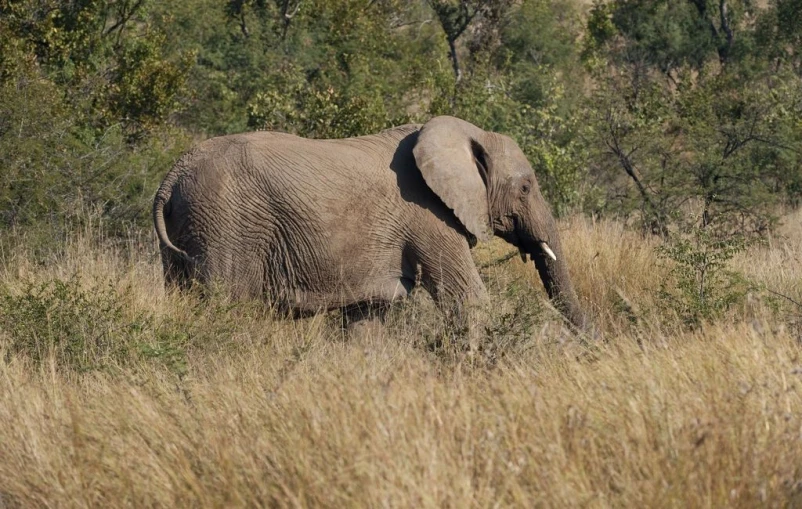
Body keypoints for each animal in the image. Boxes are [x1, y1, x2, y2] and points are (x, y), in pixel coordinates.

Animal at [153, 114, 584, 328]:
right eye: (526, 187)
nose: (590, 345)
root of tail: (171, 176)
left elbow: (368, 318)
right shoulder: (429, 216)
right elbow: (467, 299)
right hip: (226, 225)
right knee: (226, 306)